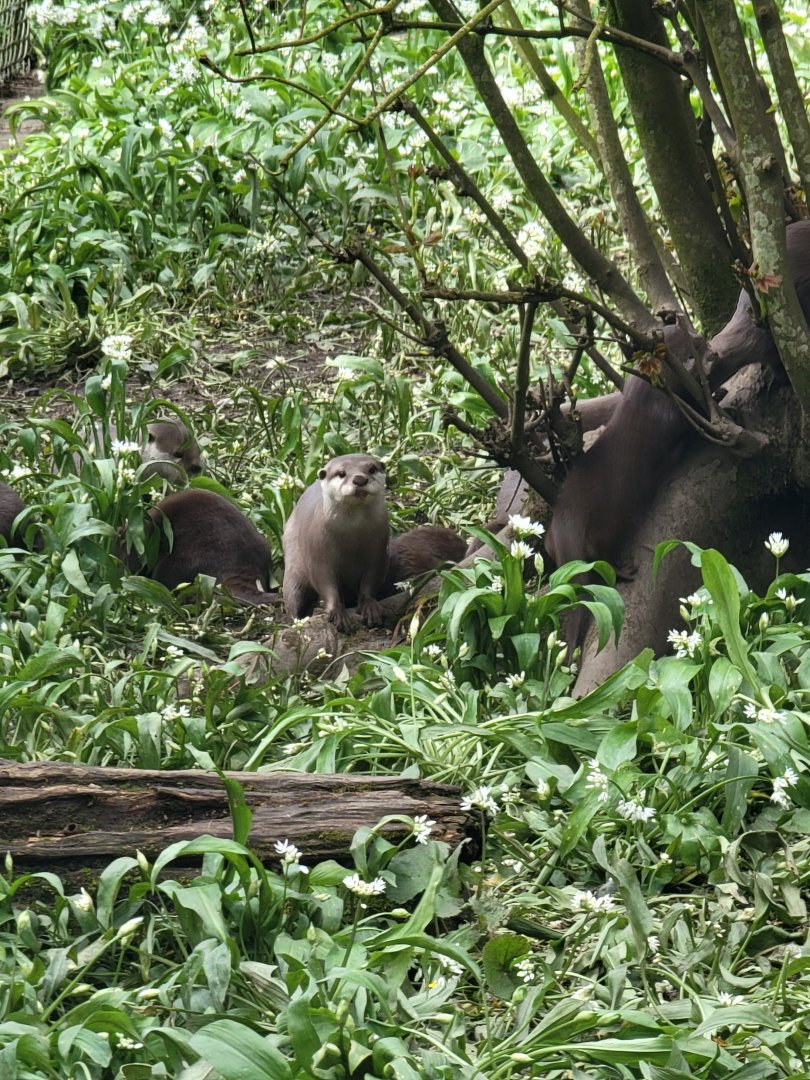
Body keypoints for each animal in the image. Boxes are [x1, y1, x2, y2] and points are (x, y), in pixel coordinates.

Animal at [283, 454, 389, 631]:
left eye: (372, 468)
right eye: (341, 473)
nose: (360, 479)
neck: (352, 535)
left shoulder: (379, 549)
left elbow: (371, 577)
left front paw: (370, 607)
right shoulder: (318, 550)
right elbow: (325, 581)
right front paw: (338, 613)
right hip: (293, 568)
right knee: (293, 596)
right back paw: (299, 622)